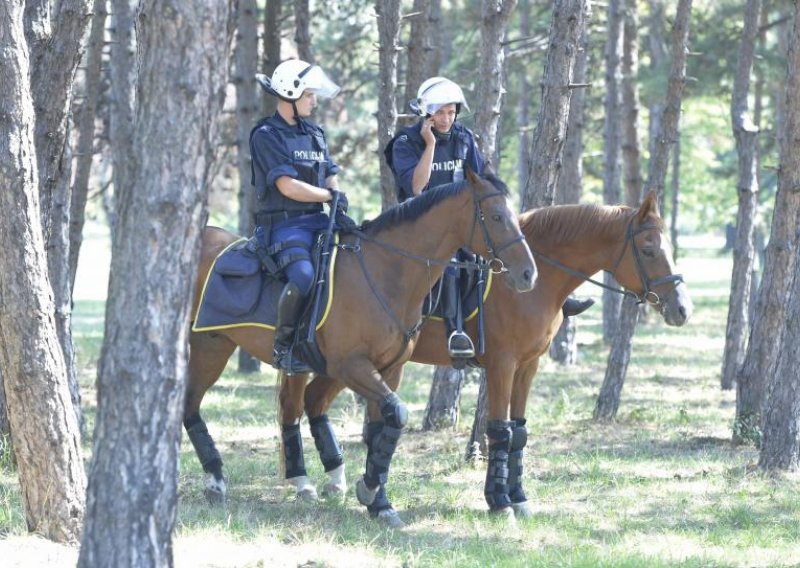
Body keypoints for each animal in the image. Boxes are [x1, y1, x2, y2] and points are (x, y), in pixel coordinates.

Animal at [184, 169, 536, 524]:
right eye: (496, 216)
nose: (528, 274)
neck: (386, 273)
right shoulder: (352, 366)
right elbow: (397, 414)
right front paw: (369, 492)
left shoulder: (389, 369)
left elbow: (383, 429)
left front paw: (378, 501)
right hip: (208, 348)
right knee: (193, 406)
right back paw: (216, 479)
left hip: (223, 348)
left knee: (277, 406)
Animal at [288, 190, 692, 524]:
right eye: (650, 250)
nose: (682, 309)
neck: (537, 281)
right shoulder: (502, 364)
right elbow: (500, 429)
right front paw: (500, 502)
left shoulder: (528, 365)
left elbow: (520, 432)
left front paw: (519, 497)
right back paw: (309, 482)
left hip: (342, 365)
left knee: (313, 401)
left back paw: (333, 482)